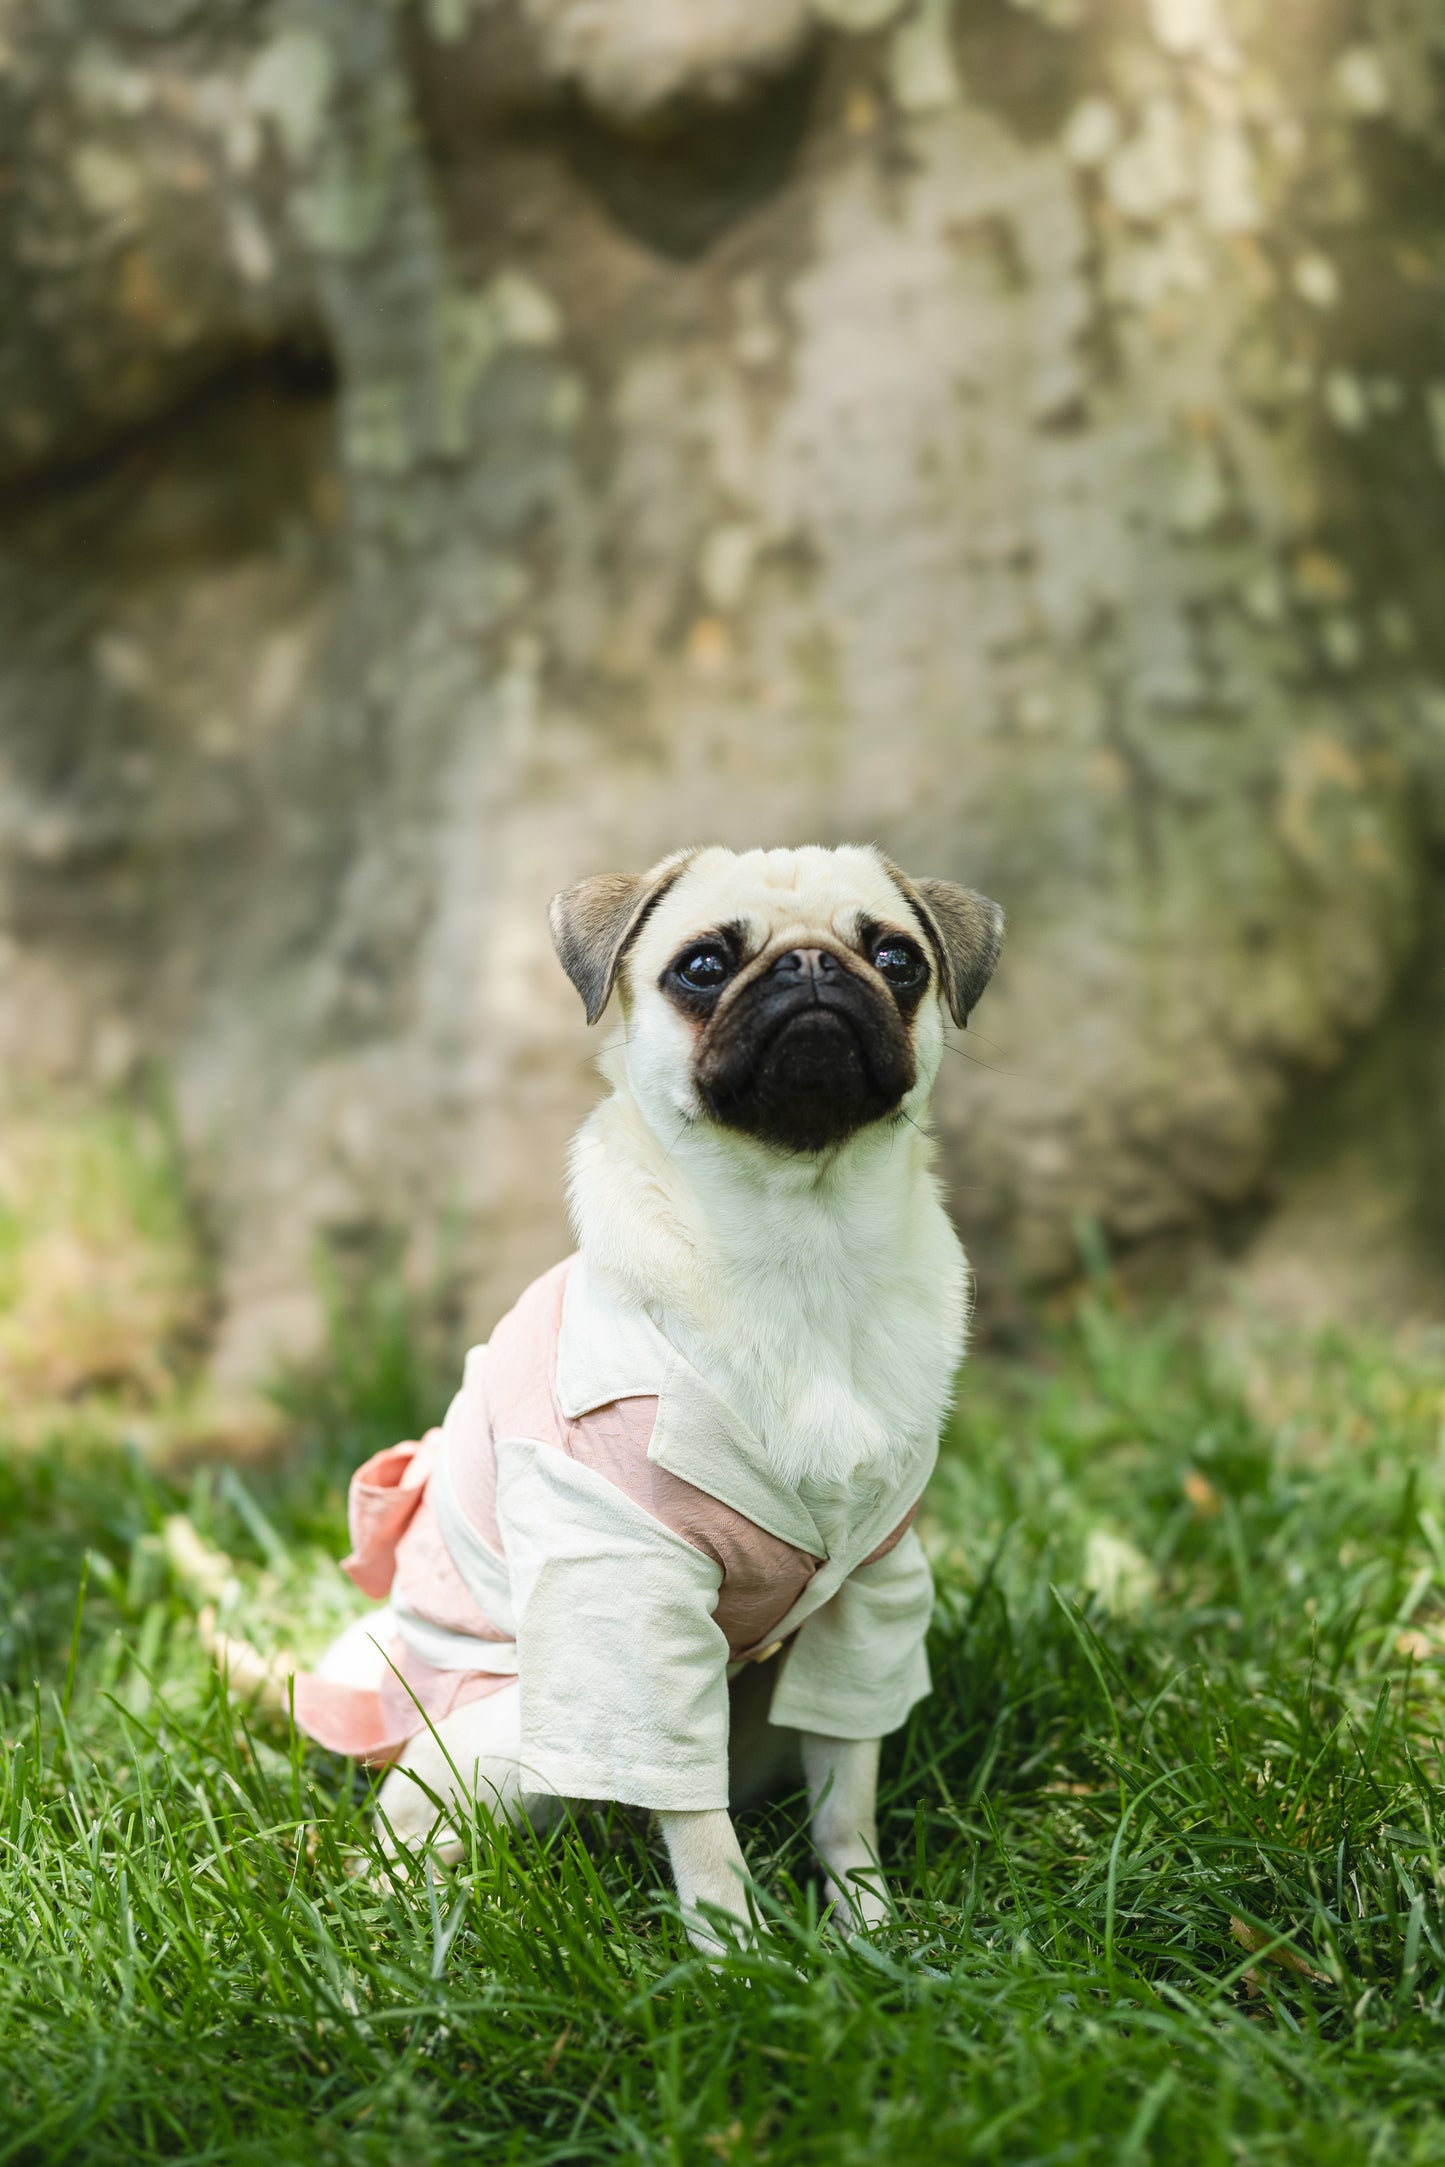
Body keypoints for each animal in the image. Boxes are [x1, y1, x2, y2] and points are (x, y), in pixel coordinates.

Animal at [288, 840, 1000, 1950]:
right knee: (408, 1832)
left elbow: (846, 1790)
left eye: (895, 959)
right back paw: (412, 1913)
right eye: (702, 967)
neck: (801, 1249)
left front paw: (866, 1924)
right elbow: (698, 1827)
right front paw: (735, 1953)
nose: (810, 966)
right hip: (508, 1732)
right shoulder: (628, 1600)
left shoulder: (872, 1592)